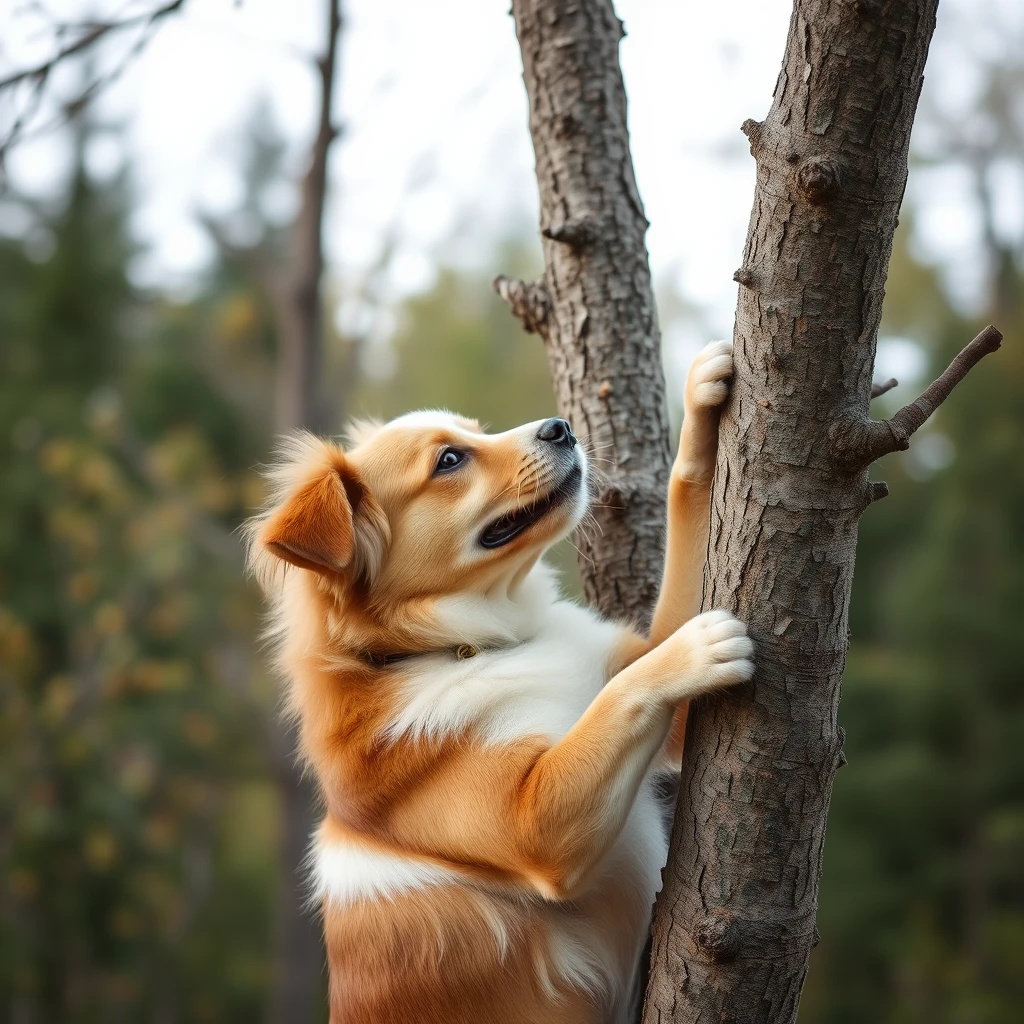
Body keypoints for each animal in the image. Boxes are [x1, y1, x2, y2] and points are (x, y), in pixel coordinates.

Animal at [247, 342, 753, 1024]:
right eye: (449, 460)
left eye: (478, 431)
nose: (561, 428)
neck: (463, 648)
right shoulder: (538, 825)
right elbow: (624, 693)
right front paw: (692, 650)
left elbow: (687, 505)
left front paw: (702, 405)